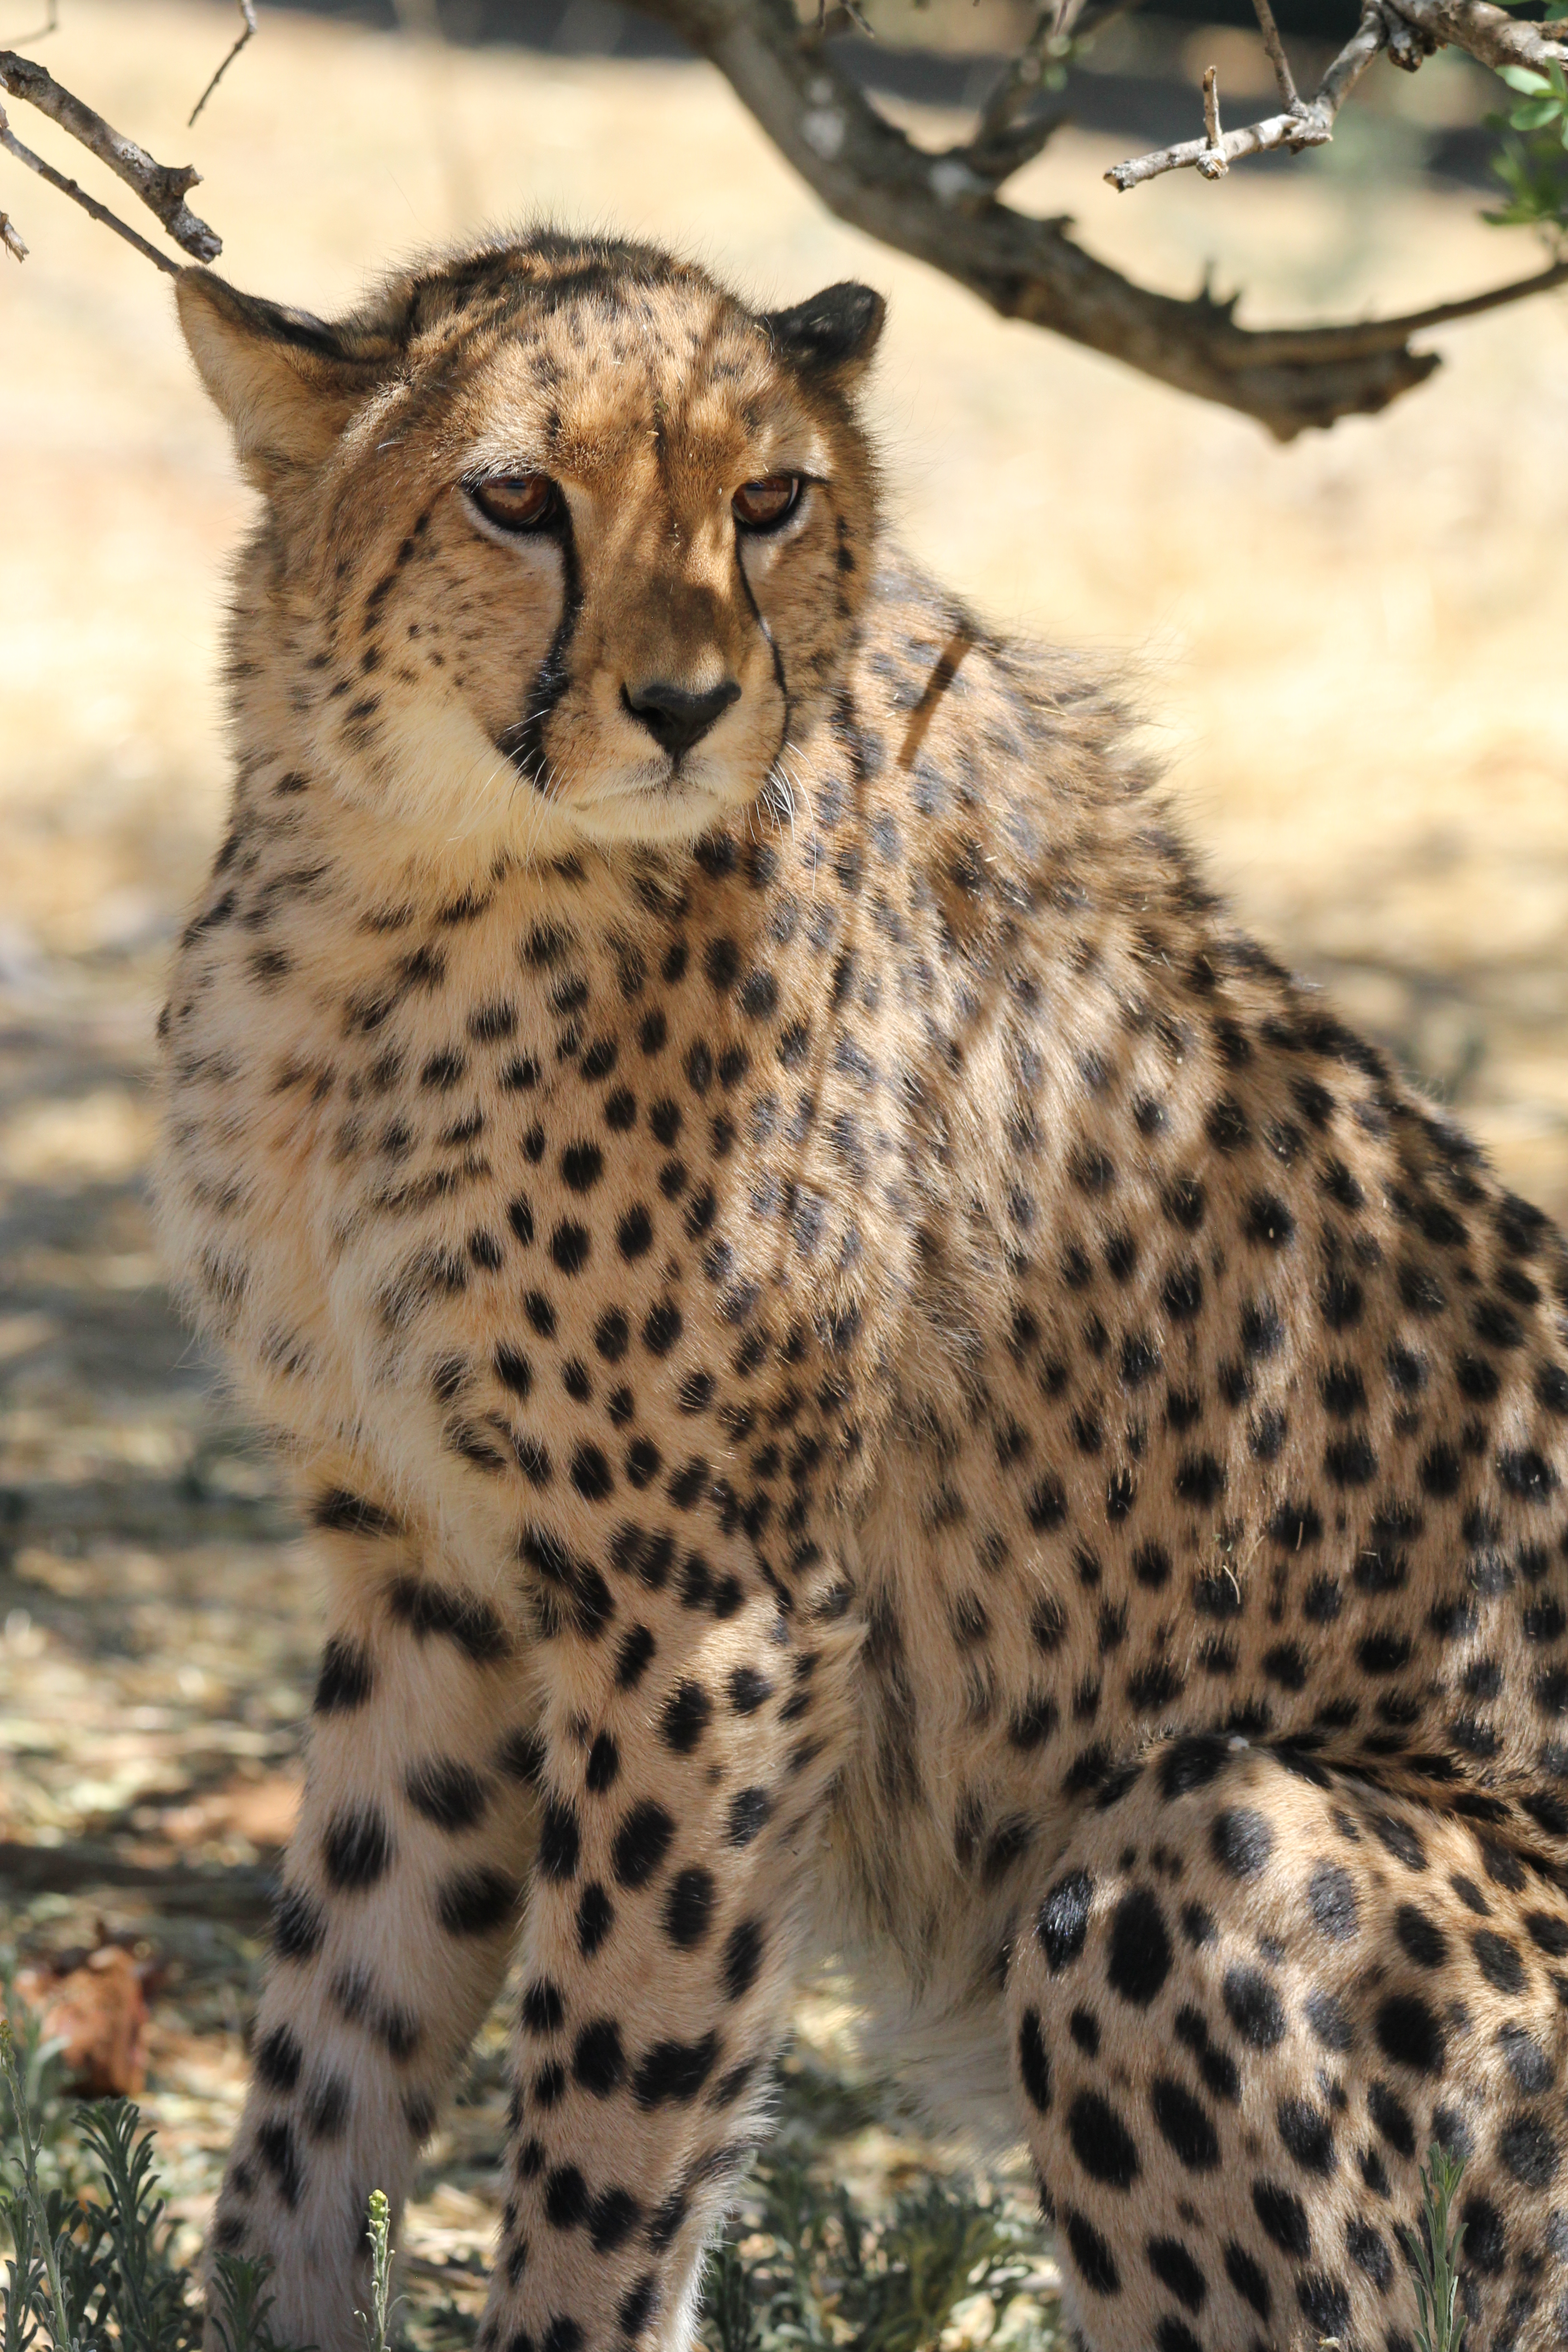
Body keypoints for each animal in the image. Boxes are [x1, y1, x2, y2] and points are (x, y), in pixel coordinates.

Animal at [156, 234, 1568, 2352]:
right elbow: (327, 2055)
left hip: (1198, 1857)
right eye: (516, 497)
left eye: (768, 500)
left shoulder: (706, 1614)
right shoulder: (432, 1583)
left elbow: (609, 2118)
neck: (399, 886)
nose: (682, 703)